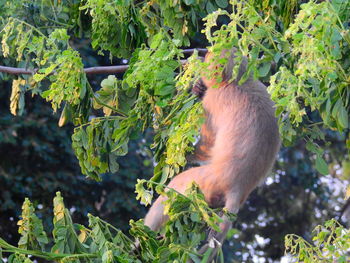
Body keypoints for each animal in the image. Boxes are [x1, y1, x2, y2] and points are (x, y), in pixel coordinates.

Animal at [144, 48, 280, 262]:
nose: (203, 56)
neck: (236, 82)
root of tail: (239, 189)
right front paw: (197, 88)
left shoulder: (213, 100)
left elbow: (208, 144)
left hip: (207, 183)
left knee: (176, 187)